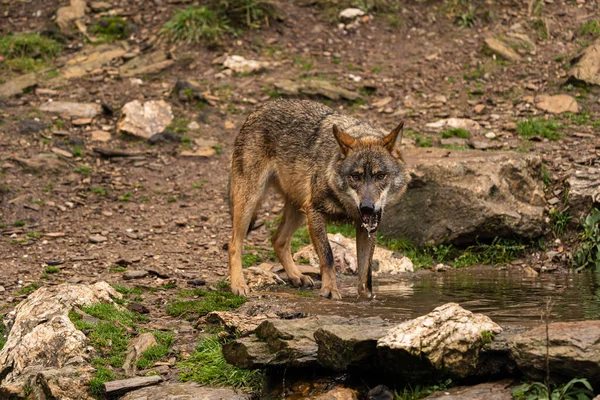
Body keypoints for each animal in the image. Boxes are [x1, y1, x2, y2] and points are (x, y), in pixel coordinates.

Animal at [227, 100, 410, 300]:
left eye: (380, 176)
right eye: (355, 177)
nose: (367, 207)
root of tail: (259, 108)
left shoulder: (366, 228)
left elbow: (365, 271)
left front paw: (366, 297)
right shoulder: (315, 212)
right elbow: (328, 256)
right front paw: (330, 290)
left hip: (299, 210)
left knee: (278, 240)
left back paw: (297, 276)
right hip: (251, 202)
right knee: (234, 245)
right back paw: (238, 284)